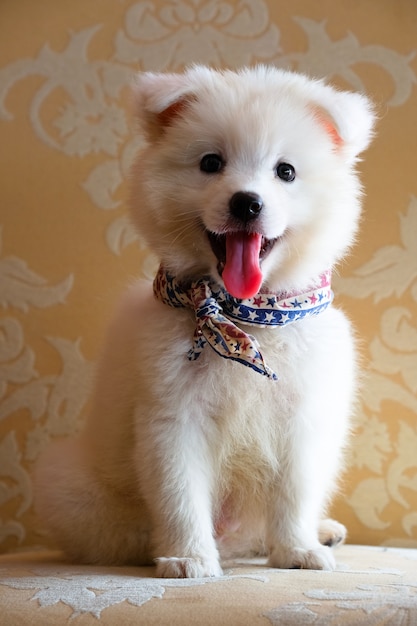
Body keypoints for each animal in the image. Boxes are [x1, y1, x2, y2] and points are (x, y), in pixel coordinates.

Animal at [35, 64, 374, 576]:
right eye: (211, 163)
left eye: (286, 171)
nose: (246, 203)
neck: (245, 318)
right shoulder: (173, 417)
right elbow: (180, 495)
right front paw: (189, 557)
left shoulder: (300, 418)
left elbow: (293, 494)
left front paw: (296, 550)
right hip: (74, 489)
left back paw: (319, 532)